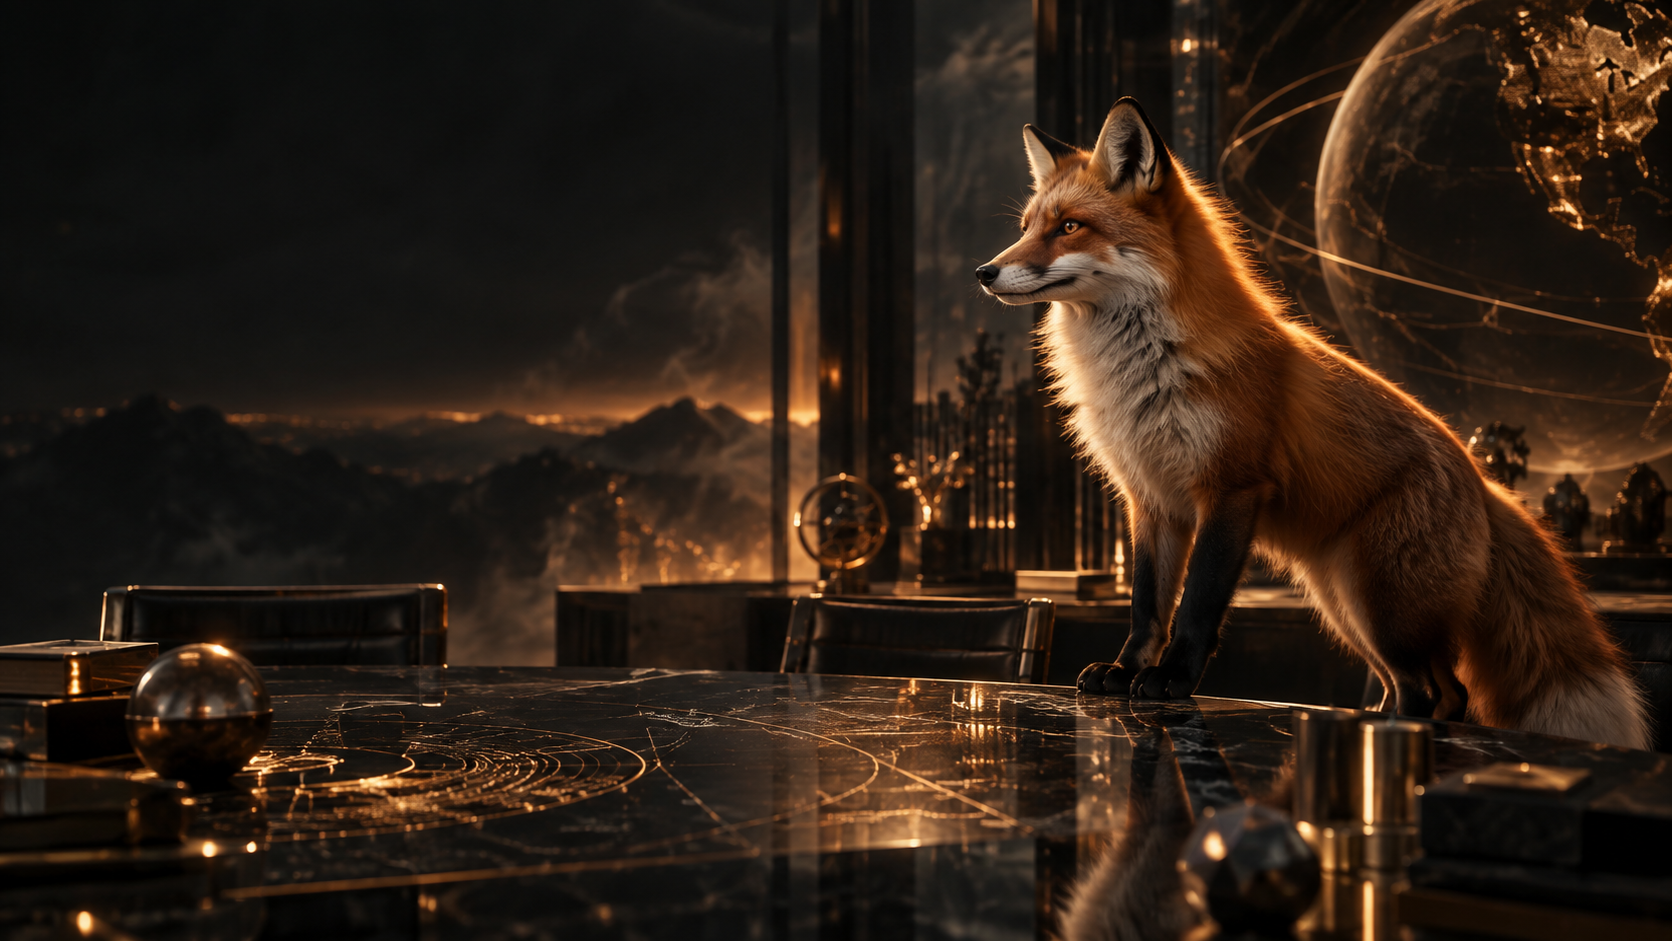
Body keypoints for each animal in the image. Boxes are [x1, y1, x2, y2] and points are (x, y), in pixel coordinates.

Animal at [976, 97, 1651, 750]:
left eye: (1069, 227)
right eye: (1027, 228)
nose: (984, 272)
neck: (1146, 369)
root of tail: (1485, 483)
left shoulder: (1231, 487)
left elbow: (1196, 606)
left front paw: (1171, 680)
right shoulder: (1151, 499)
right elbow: (1147, 606)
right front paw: (1124, 673)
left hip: (1380, 608)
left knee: (1444, 691)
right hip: (1348, 609)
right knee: (1427, 689)